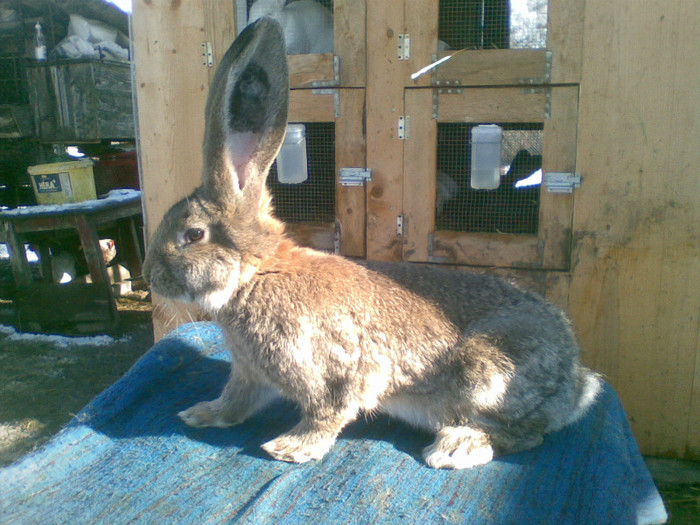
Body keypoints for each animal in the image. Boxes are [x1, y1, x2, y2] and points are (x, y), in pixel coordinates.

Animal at [142, 18, 600, 468]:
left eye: (193, 235)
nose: (149, 276)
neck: (255, 276)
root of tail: (577, 382)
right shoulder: (248, 373)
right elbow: (236, 402)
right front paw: (201, 414)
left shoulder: (332, 372)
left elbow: (327, 412)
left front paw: (290, 448)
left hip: (486, 374)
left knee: (524, 435)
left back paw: (455, 447)